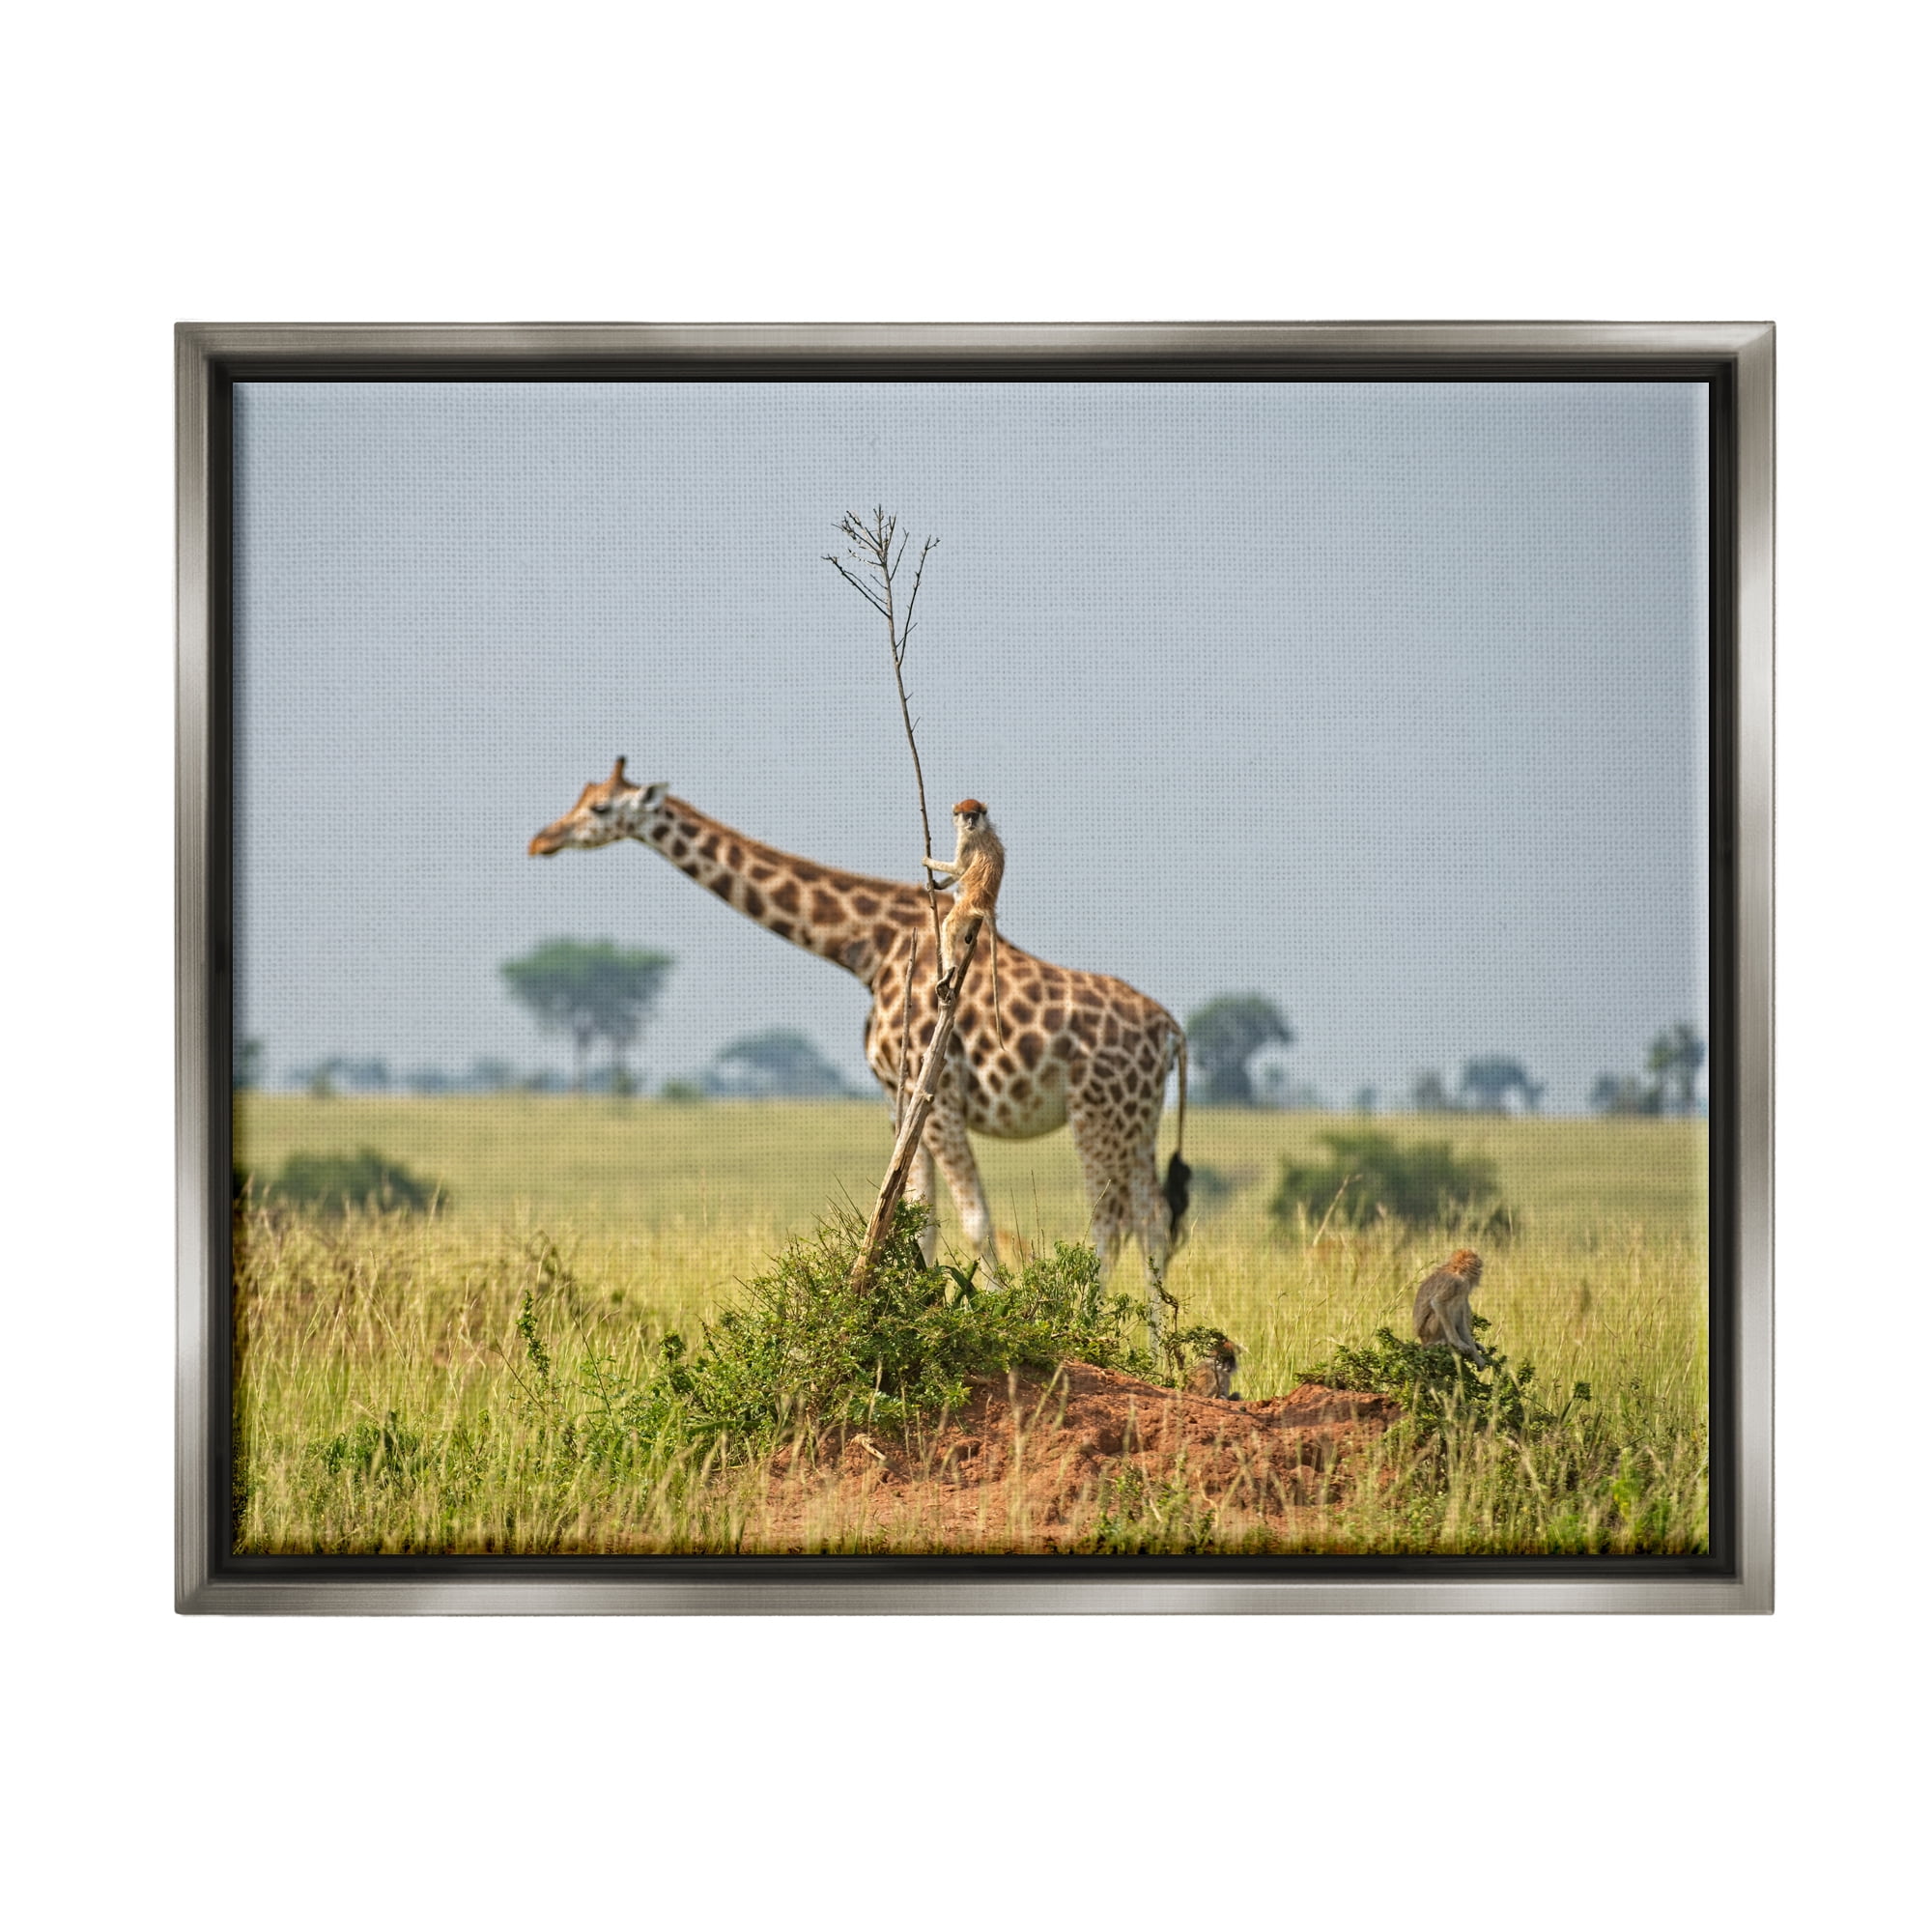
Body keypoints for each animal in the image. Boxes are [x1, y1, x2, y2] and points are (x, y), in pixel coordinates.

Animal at [923, 798, 1005, 1037]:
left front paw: (928, 861)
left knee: (950, 924)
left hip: (967, 905)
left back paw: (949, 972)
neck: (981, 828)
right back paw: (971, 932)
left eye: (974, 815)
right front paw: (936, 885)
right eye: (966, 815)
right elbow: (959, 872)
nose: (970, 822)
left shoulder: (967, 842)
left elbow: (960, 869)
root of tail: (986, 903)